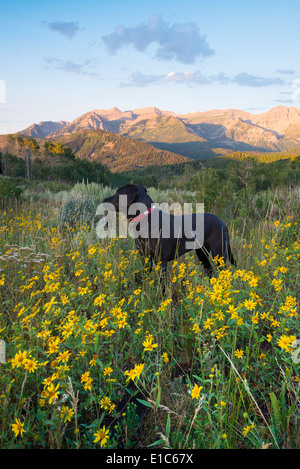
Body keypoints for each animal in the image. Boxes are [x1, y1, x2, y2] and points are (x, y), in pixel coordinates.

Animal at [102, 183, 236, 278]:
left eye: (118, 193)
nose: (103, 200)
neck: (145, 219)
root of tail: (223, 222)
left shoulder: (161, 260)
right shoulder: (145, 258)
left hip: (219, 253)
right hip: (201, 252)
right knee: (209, 270)